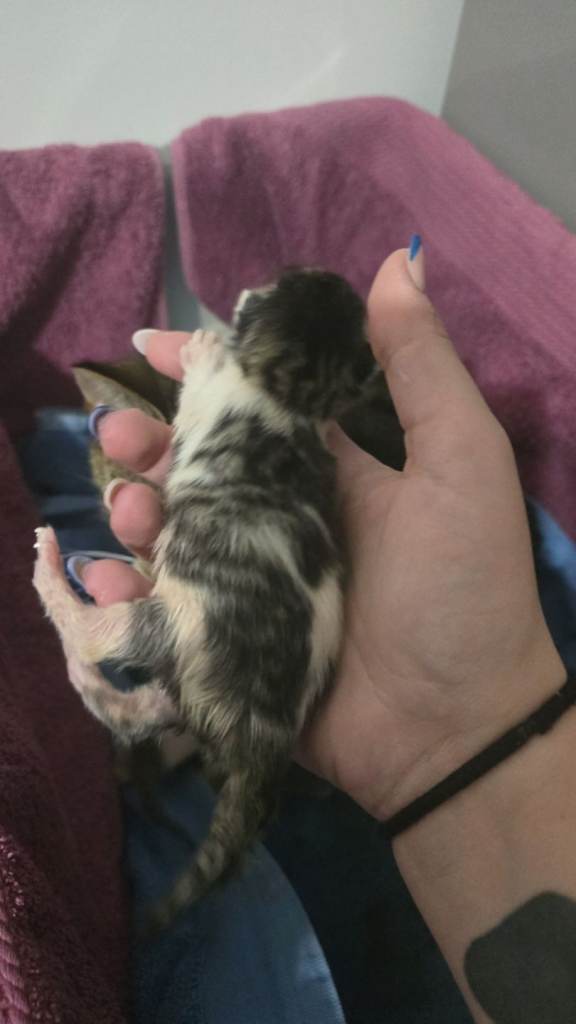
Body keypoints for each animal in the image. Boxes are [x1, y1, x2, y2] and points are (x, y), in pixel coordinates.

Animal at [33, 267, 376, 930]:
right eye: (311, 281)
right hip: (179, 688)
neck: (284, 397)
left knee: (100, 641)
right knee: (133, 713)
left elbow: (195, 388)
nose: (327, 274)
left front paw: (196, 347)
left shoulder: (208, 404)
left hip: (173, 626)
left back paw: (52, 578)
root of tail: (265, 739)